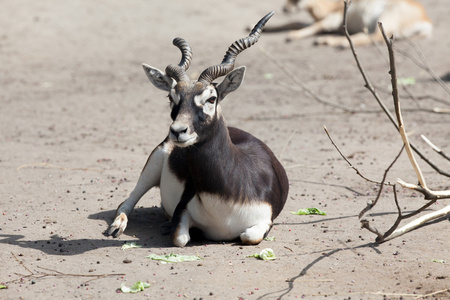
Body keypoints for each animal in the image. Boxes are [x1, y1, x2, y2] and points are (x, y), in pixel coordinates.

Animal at [106, 11, 288, 246]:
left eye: (211, 98)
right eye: (172, 97)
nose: (177, 131)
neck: (225, 201)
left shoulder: (264, 221)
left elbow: (249, 236)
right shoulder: (183, 211)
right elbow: (180, 238)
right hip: (154, 161)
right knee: (126, 202)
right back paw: (118, 227)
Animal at [270, 0, 432, 46]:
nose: (285, 8)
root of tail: (426, 20)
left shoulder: (334, 19)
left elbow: (317, 25)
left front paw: (292, 36)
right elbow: (294, 22)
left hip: (386, 18)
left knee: (375, 37)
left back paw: (333, 42)